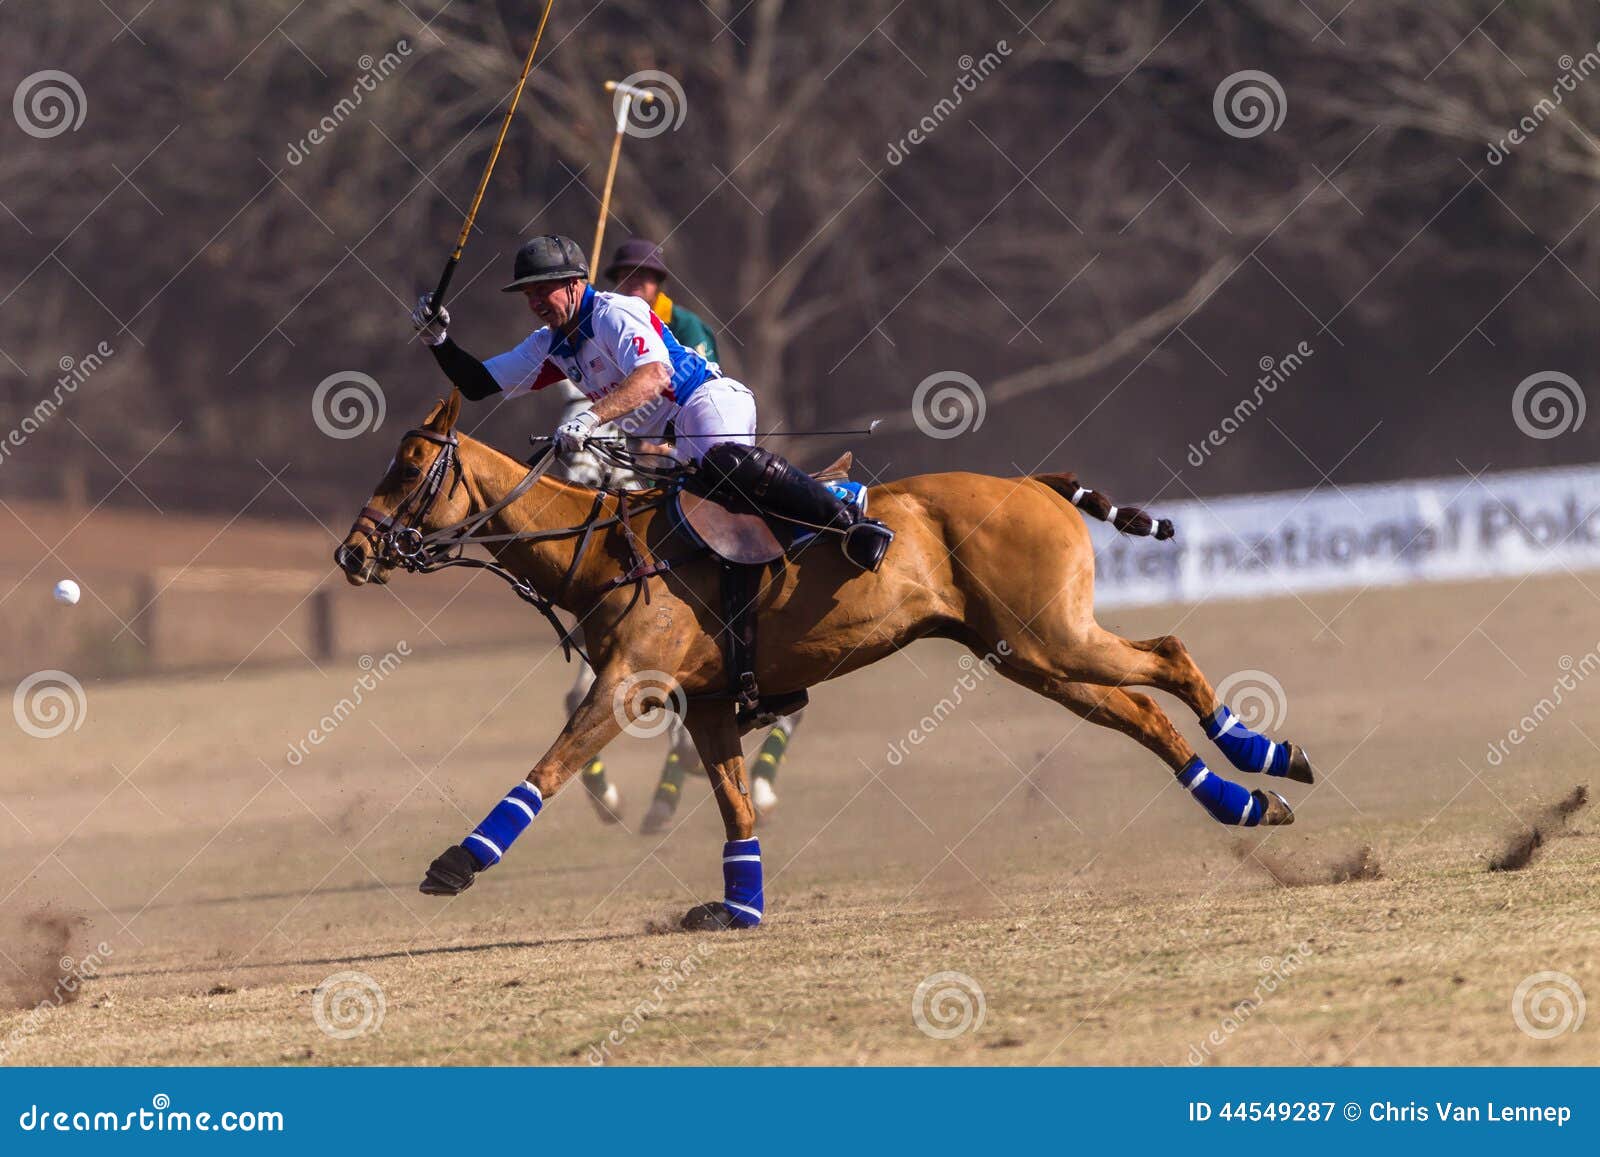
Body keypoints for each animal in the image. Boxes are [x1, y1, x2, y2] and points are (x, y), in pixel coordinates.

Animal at [334, 395, 1312, 934]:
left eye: (411, 465)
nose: (352, 553)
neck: (604, 548)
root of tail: (1033, 483)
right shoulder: (709, 702)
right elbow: (733, 804)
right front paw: (738, 908)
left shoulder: (629, 685)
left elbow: (548, 767)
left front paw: (457, 862)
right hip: (1028, 654)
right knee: (1140, 710)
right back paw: (1245, 799)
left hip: (1051, 635)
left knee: (1170, 657)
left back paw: (1265, 754)